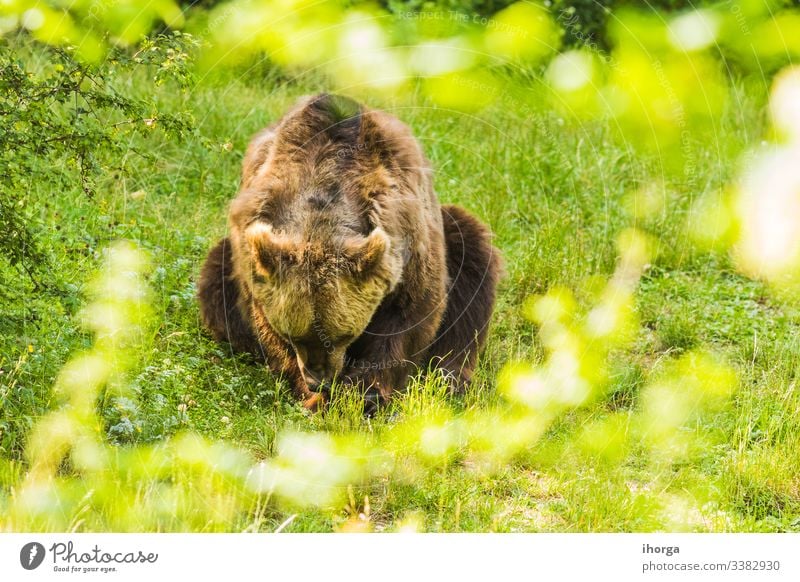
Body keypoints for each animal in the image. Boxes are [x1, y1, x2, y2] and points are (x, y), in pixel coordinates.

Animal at [197, 94, 500, 410]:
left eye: (344, 334)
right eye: (293, 334)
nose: (318, 380)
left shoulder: (407, 235)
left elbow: (408, 316)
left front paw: (367, 395)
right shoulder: (254, 246)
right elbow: (265, 323)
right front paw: (314, 398)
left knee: (471, 264)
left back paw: (451, 379)